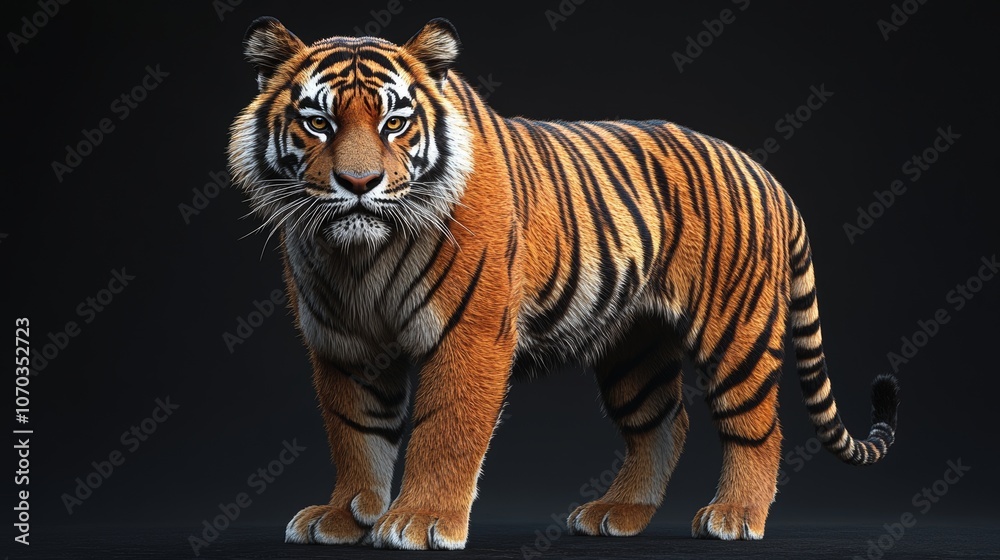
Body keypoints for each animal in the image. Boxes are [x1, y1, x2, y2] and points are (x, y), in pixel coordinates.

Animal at [227, 16, 900, 550]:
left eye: (395, 122)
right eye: (317, 122)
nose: (359, 184)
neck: (359, 256)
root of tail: (765, 173)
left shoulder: (470, 334)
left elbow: (445, 430)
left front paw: (420, 521)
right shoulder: (344, 345)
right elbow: (356, 434)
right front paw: (344, 516)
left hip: (735, 331)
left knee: (759, 428)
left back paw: (735, 516)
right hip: (634, 348)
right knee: (665, 424)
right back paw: (617, 514)